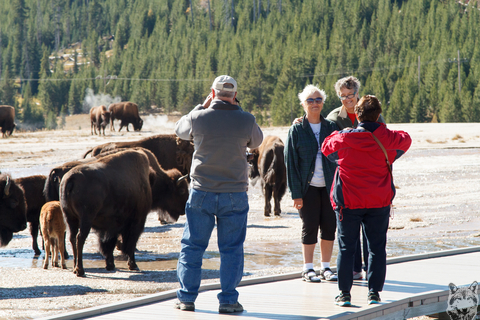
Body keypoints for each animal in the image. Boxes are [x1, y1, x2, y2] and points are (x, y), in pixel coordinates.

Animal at [59, 149, 188, 276]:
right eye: (181, 191)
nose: (184, 210)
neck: (151, 178)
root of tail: (70, 179)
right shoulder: (136, 221)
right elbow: (130, 243)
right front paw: (133, 265)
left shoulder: (111, 226)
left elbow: (108, 244)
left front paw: (110, 265)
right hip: (86, 219)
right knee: (80, 238)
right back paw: (80, 270)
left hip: (70, 218)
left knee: (72, 238)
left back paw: (75, 268)